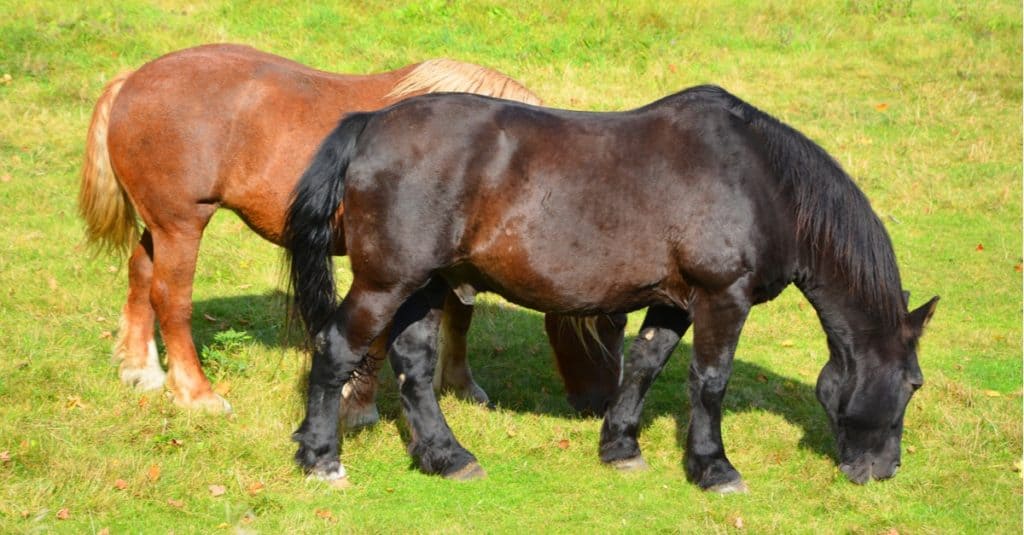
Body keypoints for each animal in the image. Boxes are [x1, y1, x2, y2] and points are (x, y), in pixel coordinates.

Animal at [78, 43, 623, 420]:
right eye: (608, 324)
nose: (599, 404)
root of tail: (133, 80)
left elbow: (459, 318)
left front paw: (460, 386)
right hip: (183, 224)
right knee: (171, 298)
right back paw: (197, 394)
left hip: (162, 226)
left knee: (140, 275)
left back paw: (141, 371)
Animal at [283, 85, 939, 490]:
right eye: (913, 383)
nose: (884, 471)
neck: (761, 182)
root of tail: (370, 125)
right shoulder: (723, 298)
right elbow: (711, 381)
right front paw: (714, 468)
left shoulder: (675, 301)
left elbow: (646, 365)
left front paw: (621, 447)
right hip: (386, 282)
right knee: (337, 349)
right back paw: (321, 459)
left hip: (424, 285)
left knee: (415, 368)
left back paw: (447, 458)